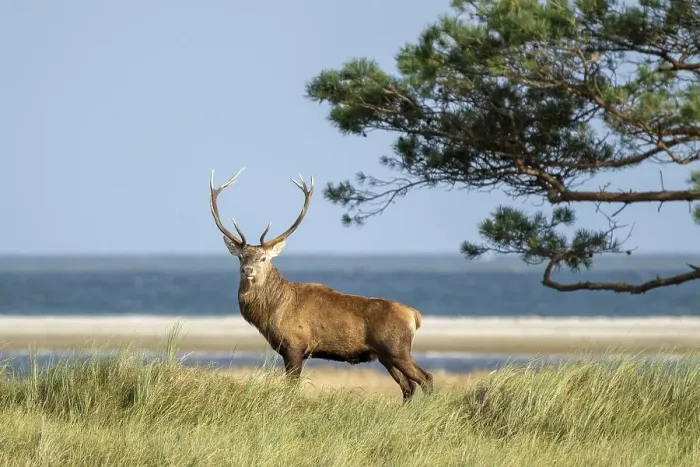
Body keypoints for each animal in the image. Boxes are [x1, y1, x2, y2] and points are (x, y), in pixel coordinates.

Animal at [209, 168, 434, 402]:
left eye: (263, 258)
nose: (247, 270)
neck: (272, 311)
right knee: (408, 386)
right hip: (385, 356)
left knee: (425, 378)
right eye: (241, 257)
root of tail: (415, 316)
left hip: (397, 349)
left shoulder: (295, 346)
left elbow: (292, 387)